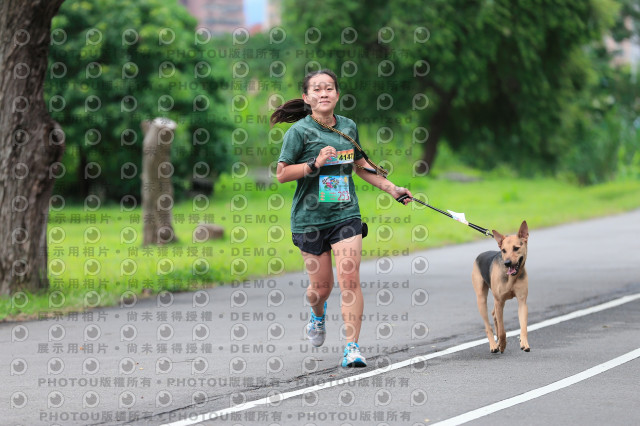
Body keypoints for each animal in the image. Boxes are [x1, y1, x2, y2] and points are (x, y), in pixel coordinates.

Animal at [470, 221, 528, 354]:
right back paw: (494, 345)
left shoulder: (522, 301)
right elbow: (502, 331)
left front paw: (524, 343)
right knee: (488, 325)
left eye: (516, 248)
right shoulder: (499, 302)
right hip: (481, 300)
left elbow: (523, 326)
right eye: (503, 250)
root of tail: (480, 255)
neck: (512, 278)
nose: (507, 263)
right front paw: (502, 344)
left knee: (493, 315)